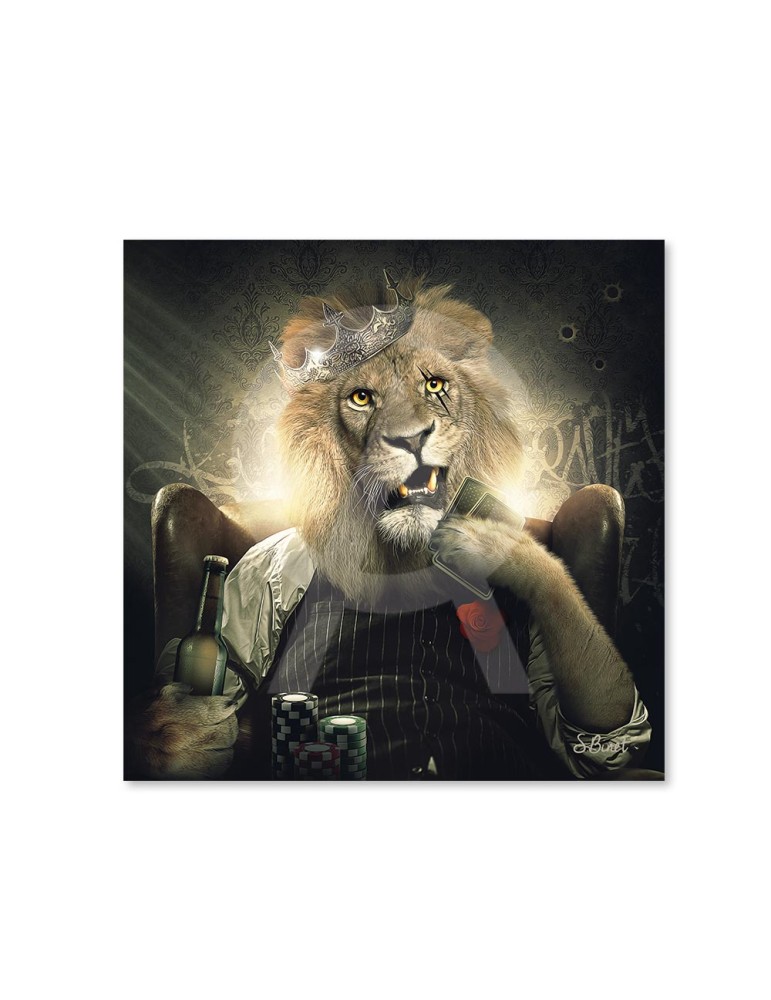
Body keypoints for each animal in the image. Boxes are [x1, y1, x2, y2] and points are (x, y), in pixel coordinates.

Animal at [129, 274, 652, 780]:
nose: (412, 438)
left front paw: (496, 546)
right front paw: (188, 734)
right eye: (362, 398)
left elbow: (590, 734)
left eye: (435, 386)